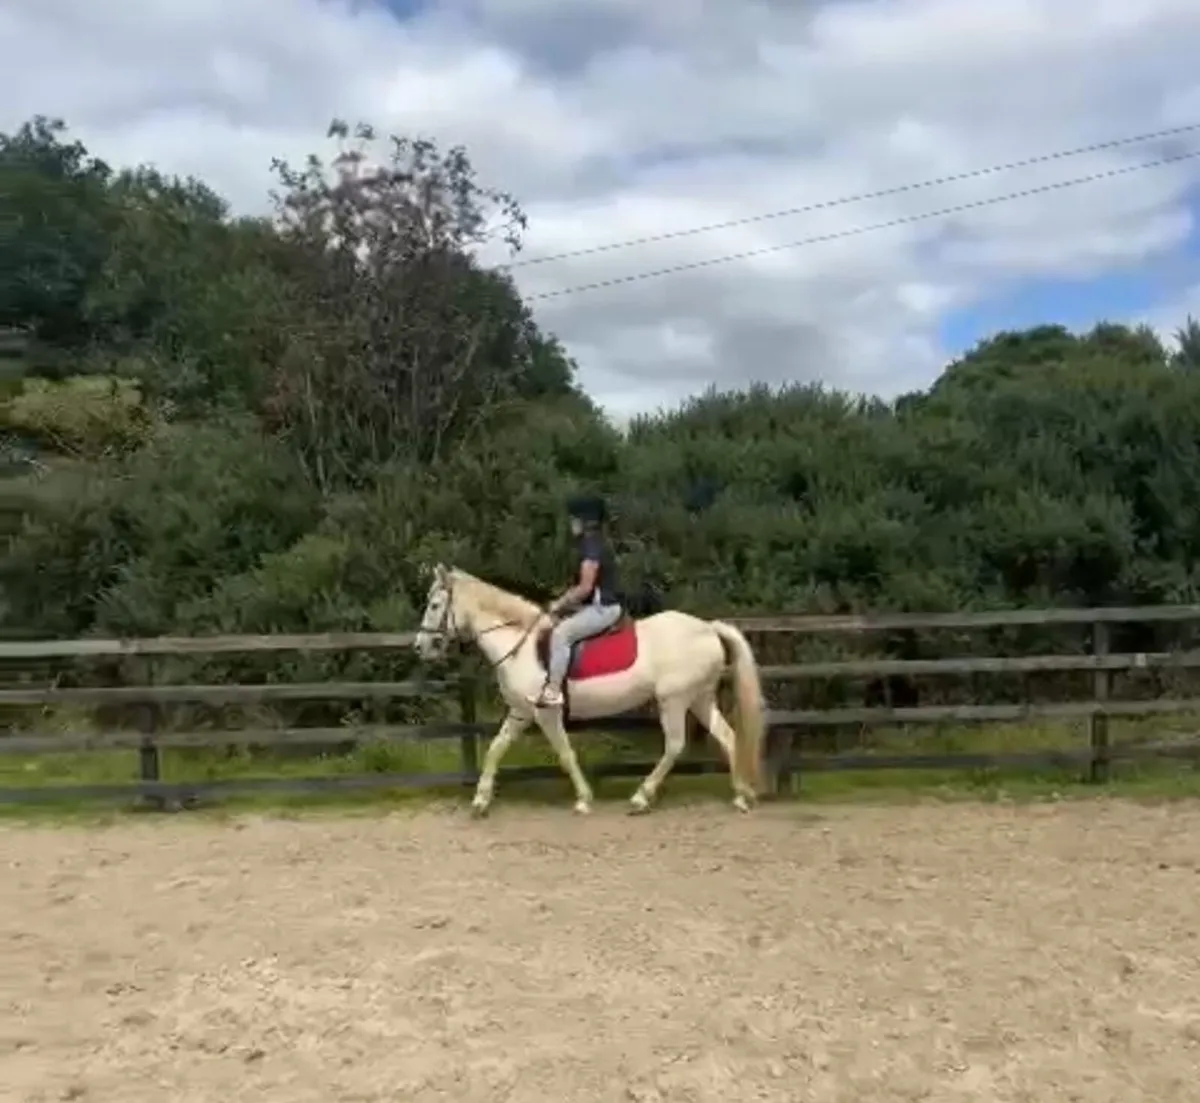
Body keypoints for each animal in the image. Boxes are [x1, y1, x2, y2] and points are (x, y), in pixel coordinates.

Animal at [413, 564, 766, 817]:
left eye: (435, 605)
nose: (419, 647)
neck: (520, 644)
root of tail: (709, 629)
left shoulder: (546, 713)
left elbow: (565, 754)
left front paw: (583, 800)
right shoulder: (521, 712)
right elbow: (496, 748)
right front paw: (480, 801)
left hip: (674, 700)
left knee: (675, 746)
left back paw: (641, 798)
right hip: (700, 699)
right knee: (729, 737)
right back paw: (741, 795)